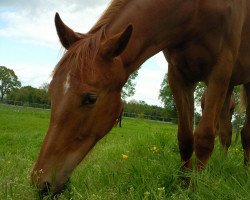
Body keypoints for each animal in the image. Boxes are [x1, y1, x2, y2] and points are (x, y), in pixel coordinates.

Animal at [31, 0, 250, 195]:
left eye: (90, 98)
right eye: (52, 91)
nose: (40, 182)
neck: (196, 10)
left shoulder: (219, 73)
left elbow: (204, 139)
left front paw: (194, 190)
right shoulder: (179, 76)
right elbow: (185, 138)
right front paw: (184, 185)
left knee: (244, 132)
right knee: (227, 133)